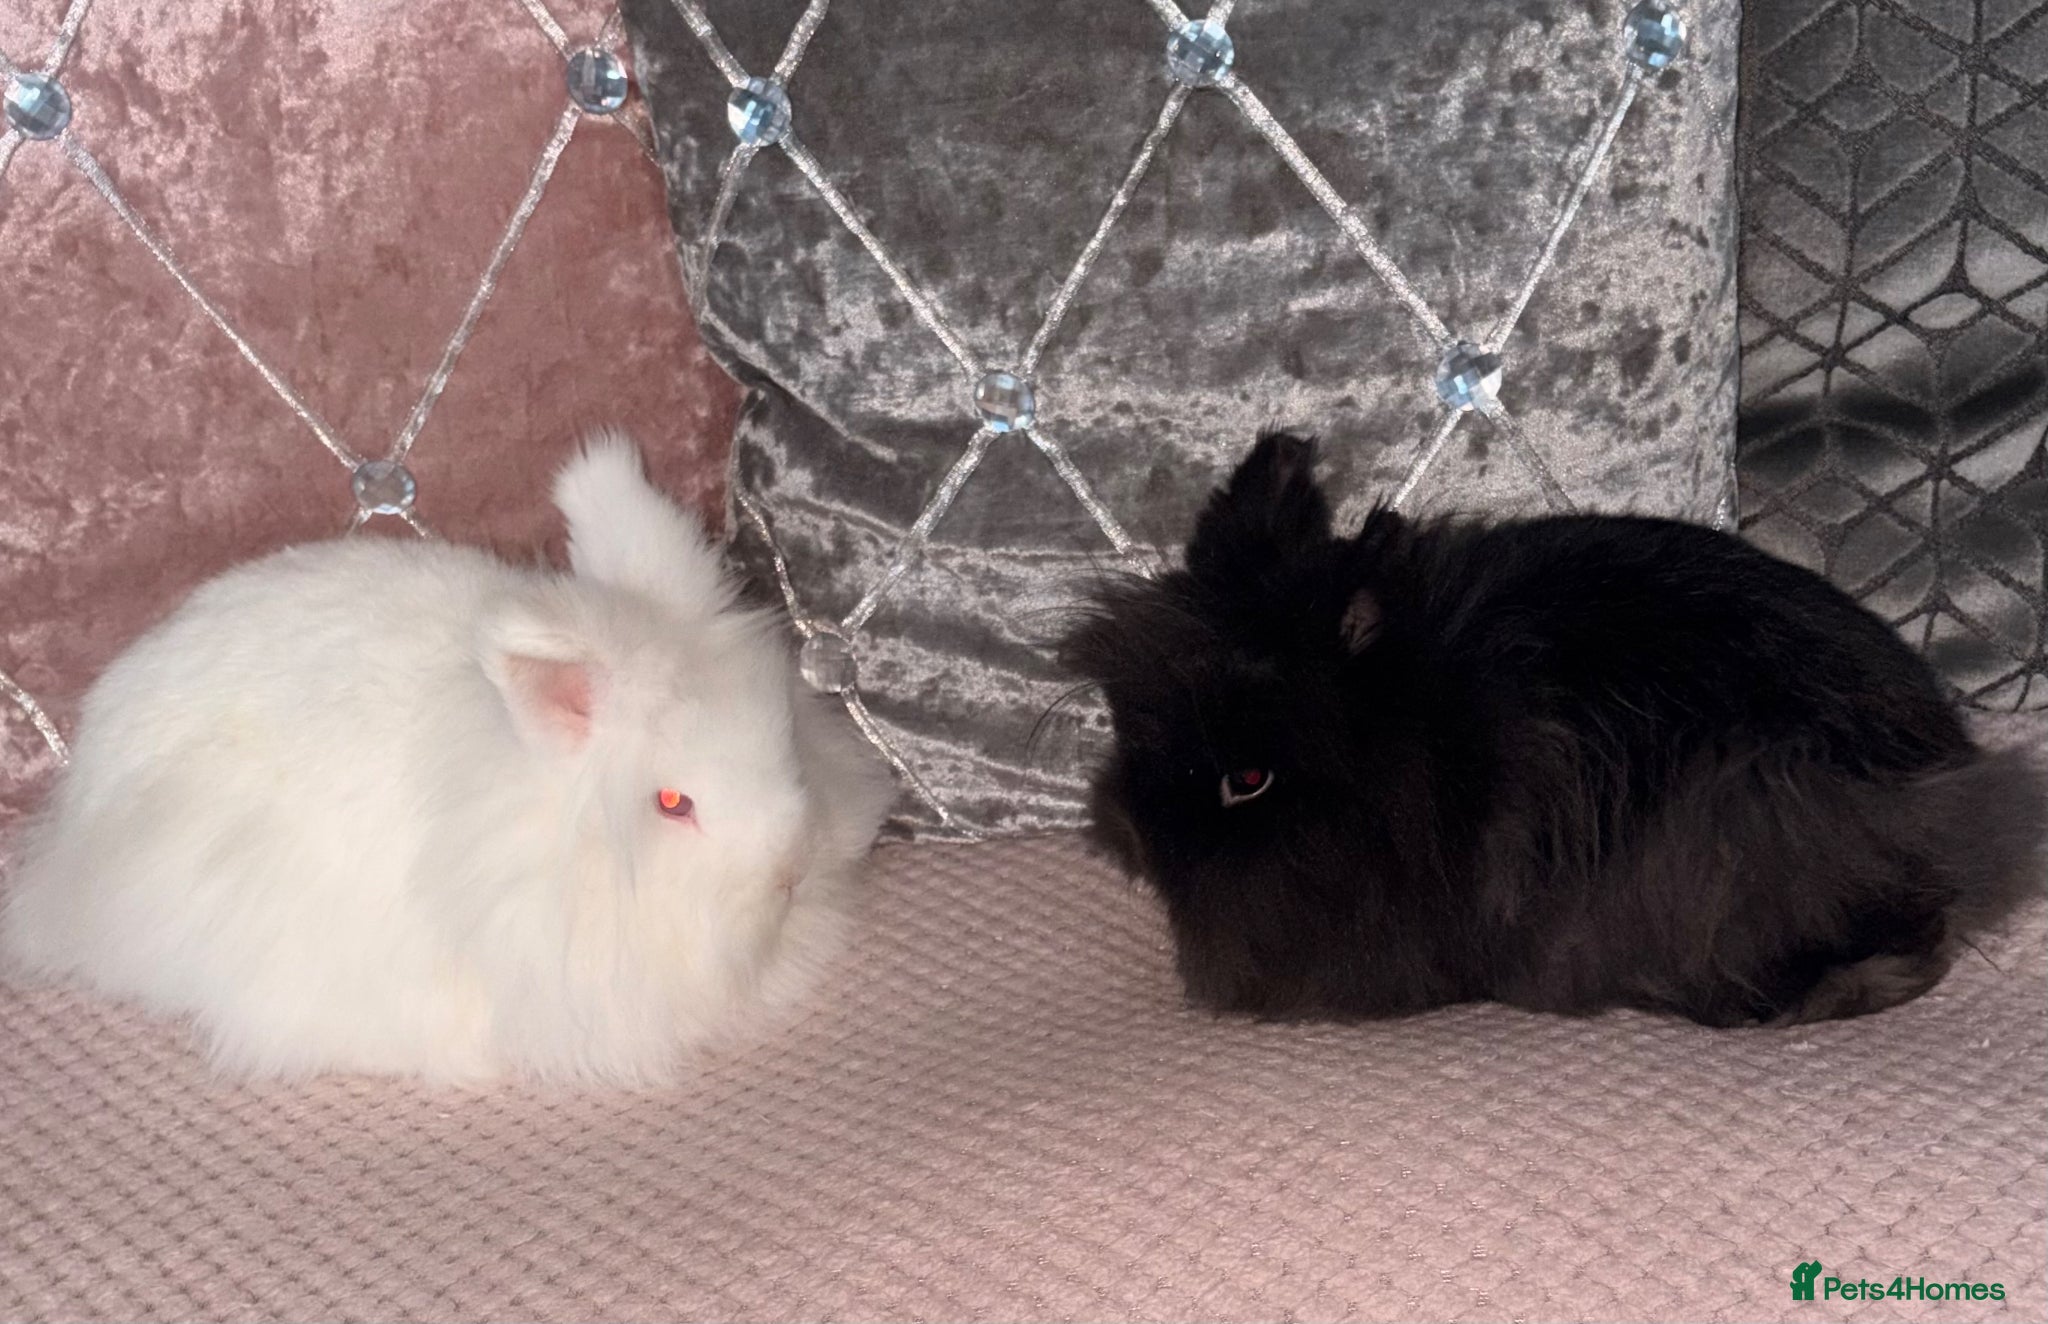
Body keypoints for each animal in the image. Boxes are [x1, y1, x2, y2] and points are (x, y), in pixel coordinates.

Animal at [1059, 431, 2045, 1027]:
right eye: (1131, 720)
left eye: (1248, 780)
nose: (1126, 832)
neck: (1431, 747)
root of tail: (1942, 785)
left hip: (1755, 814)